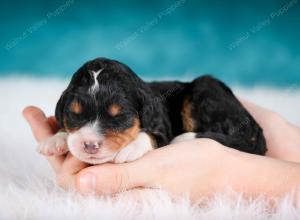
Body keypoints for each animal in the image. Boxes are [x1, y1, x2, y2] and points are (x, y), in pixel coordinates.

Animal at [38, 57, 268, 164]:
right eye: (75, 114)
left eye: (119, 116)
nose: (89, 145)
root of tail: (255, 128)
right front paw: (56, 139)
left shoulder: (163, 129)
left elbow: (149, 135)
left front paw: (131, 148)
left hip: (205, 87)